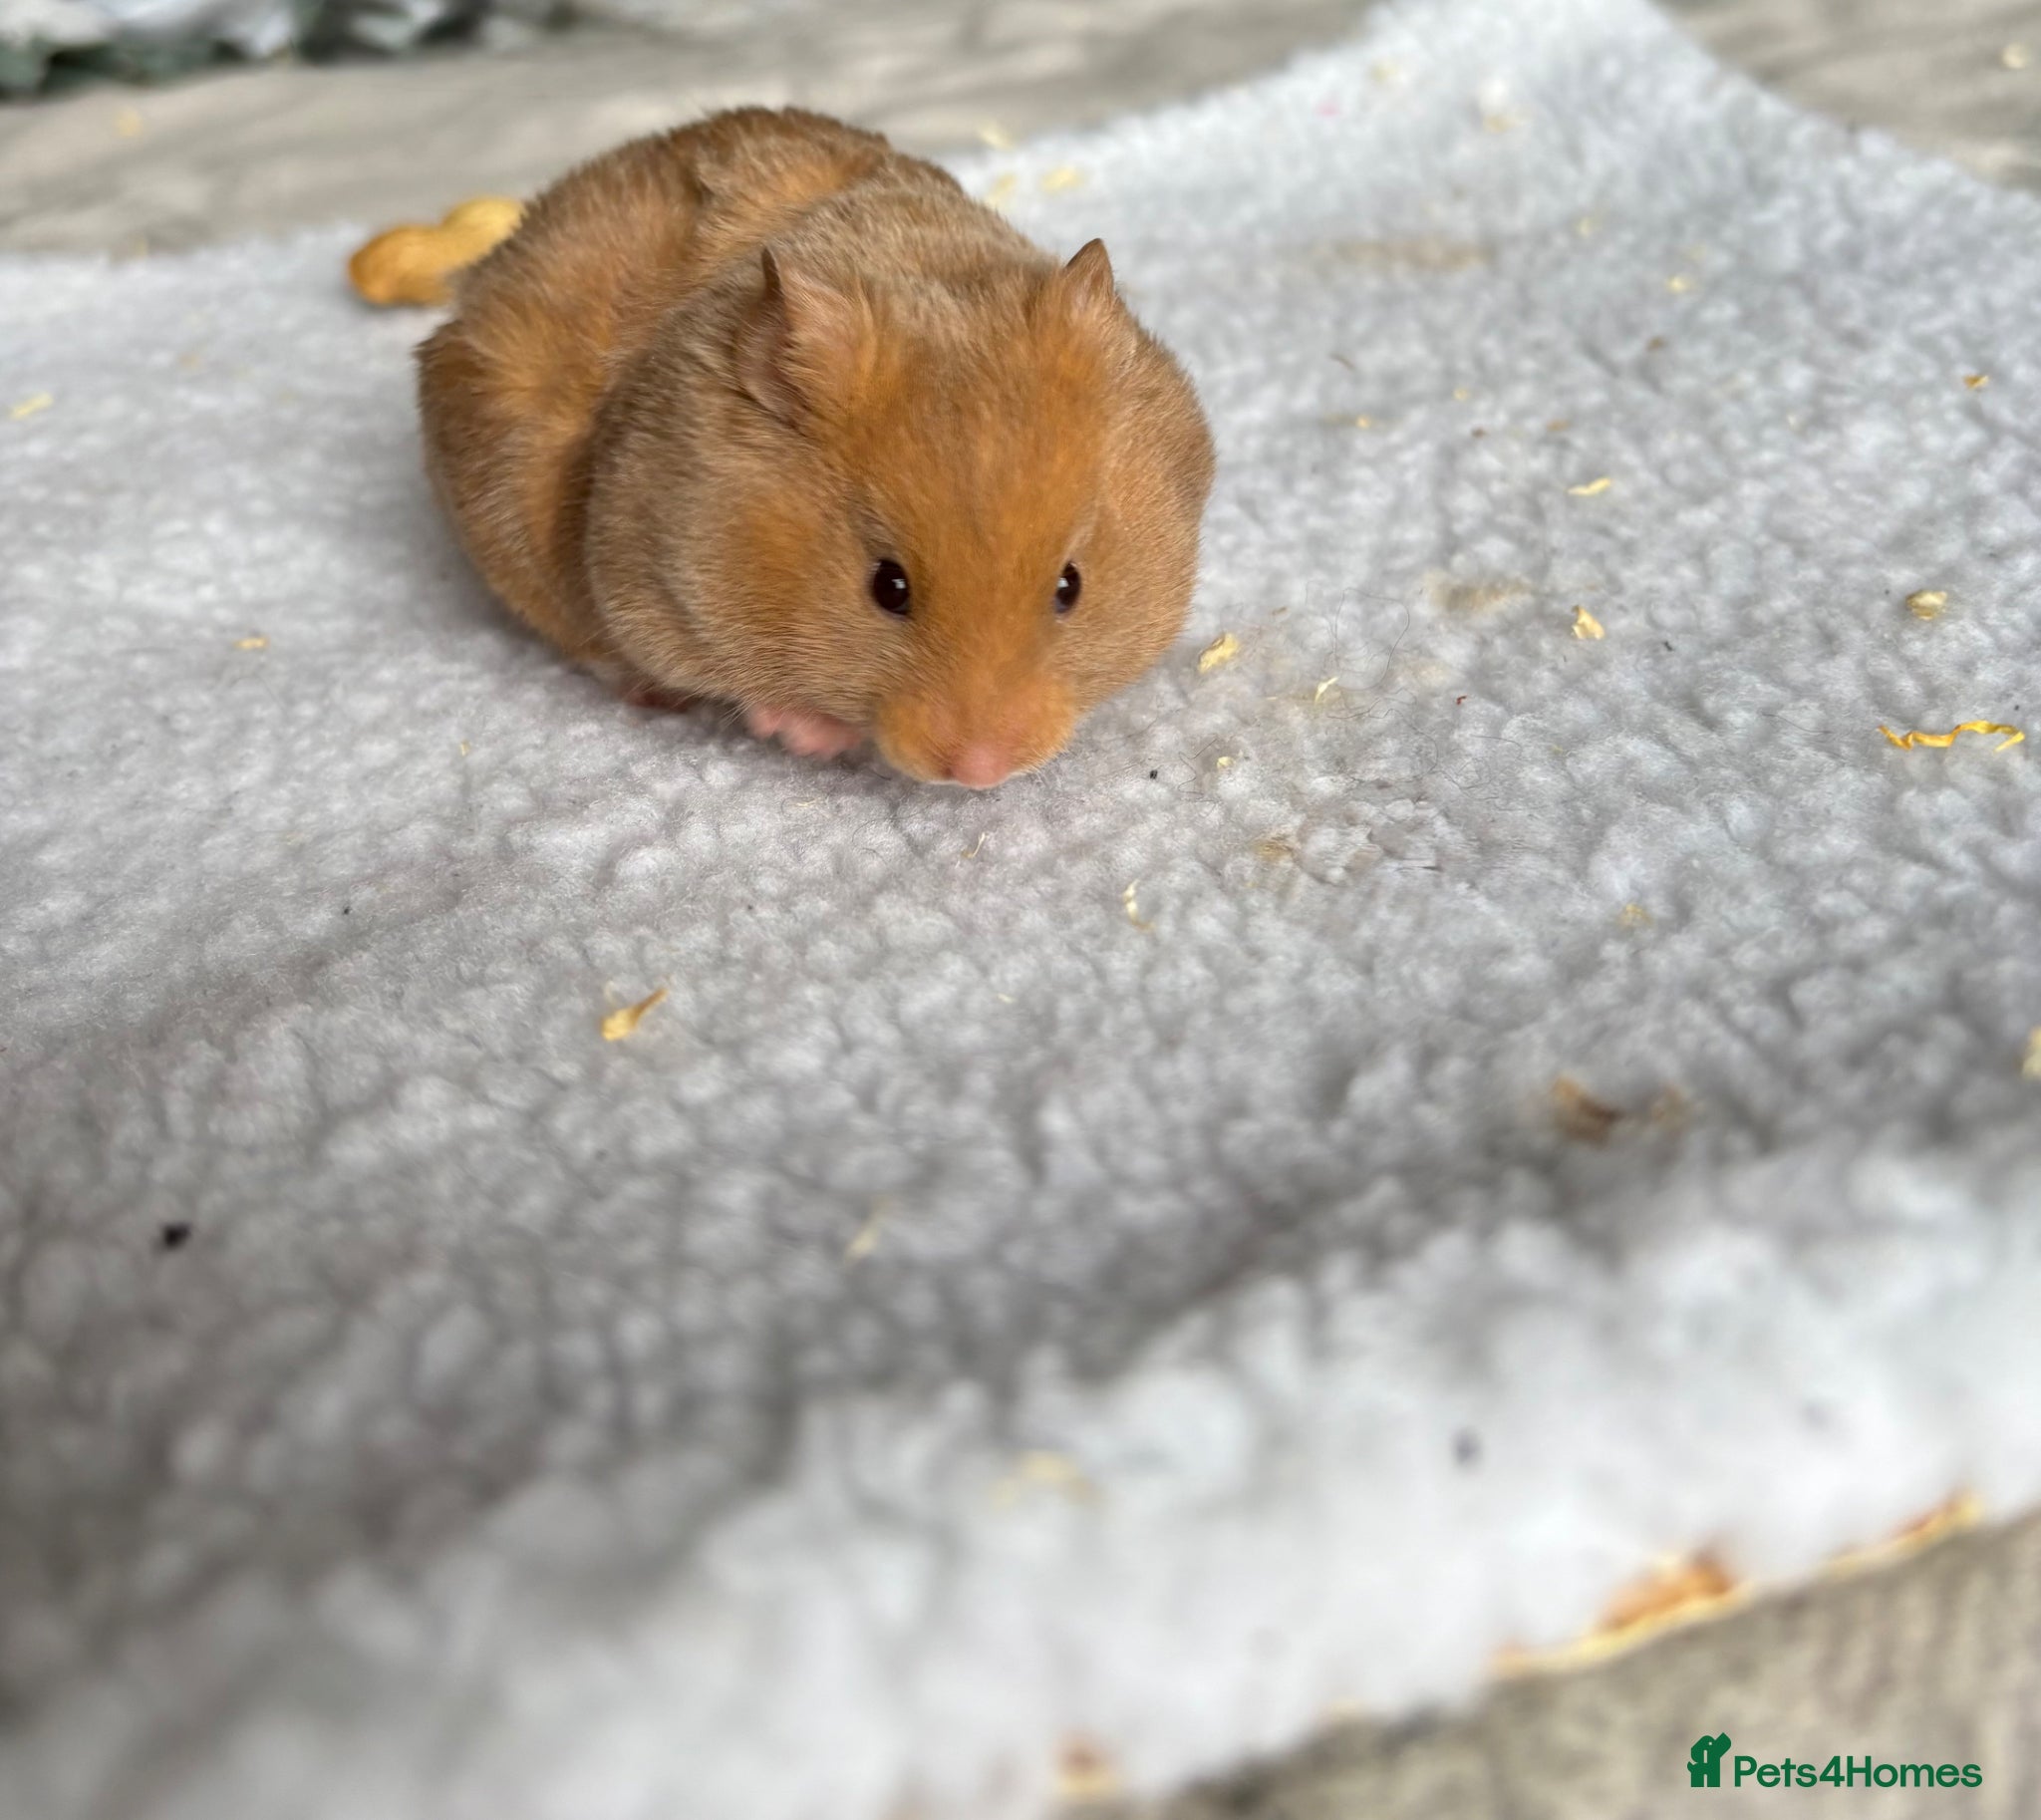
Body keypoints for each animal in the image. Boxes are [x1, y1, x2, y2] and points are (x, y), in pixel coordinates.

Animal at [416, 107, 1215, 788]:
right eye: (887, 588)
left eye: (1069, 586)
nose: (978, 773)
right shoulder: (649, 587)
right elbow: (736, 681)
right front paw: (814, 736)